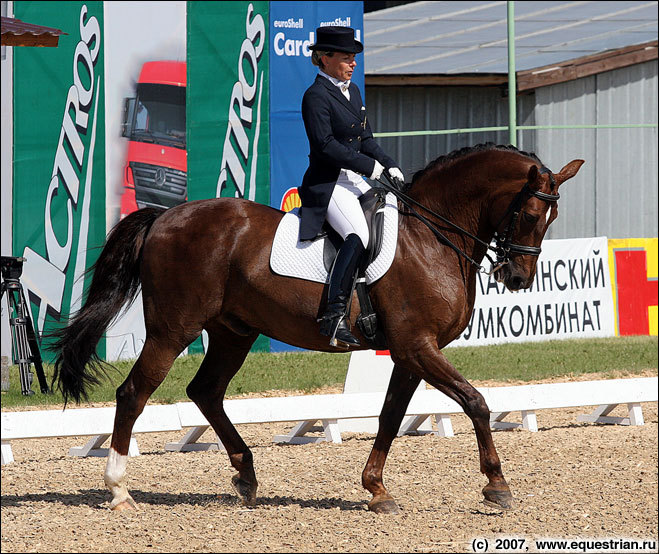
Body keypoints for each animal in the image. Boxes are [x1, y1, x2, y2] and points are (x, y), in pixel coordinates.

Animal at [54, 143, 584, 512]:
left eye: (553, 216)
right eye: (530, 213)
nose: (518, 279)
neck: (431, 237)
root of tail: (166, 215)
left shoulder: (410, 353)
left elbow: (390, 417)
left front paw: (376, 490)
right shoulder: (417, 346)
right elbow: (476, 402)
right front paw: (497, 485)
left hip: (233, 332)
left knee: (205, 390)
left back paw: (246, 476)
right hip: (173, 329)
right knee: (135, 393)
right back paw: (119, 490)